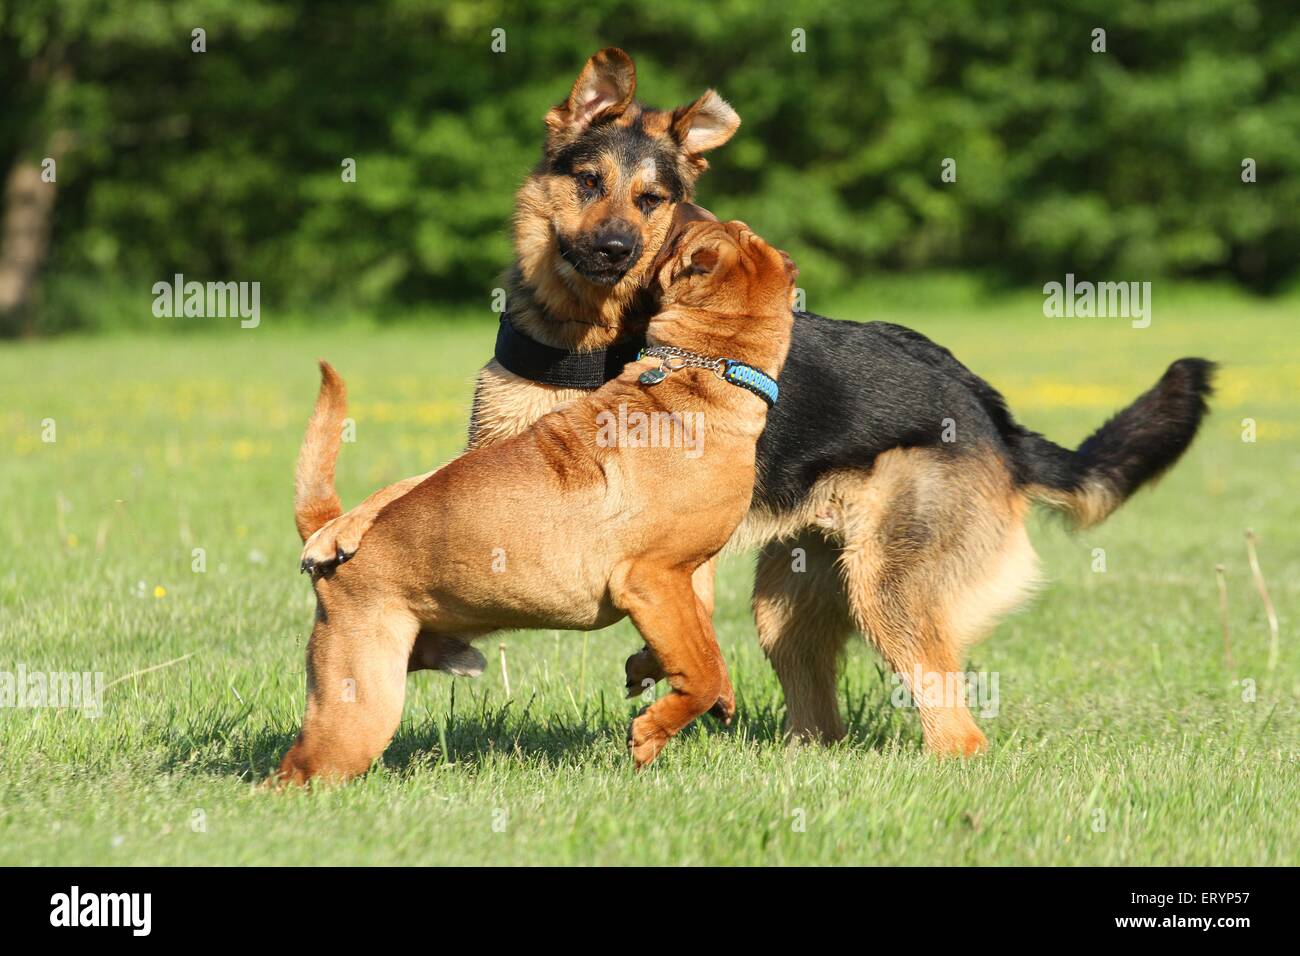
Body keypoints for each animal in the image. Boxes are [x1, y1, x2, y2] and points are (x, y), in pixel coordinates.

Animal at [279, 218, 795, 785]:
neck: (706, 367)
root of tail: (330, 534)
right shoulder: (651, 578)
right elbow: (700, 672)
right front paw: (651, 732)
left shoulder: (687, 578)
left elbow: (704, 649)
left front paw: (659, 676)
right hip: (361, 705)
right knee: (294, 770)